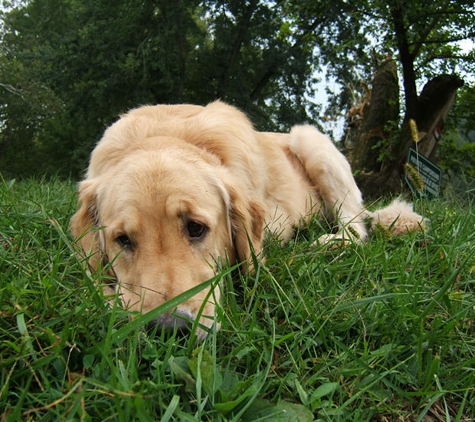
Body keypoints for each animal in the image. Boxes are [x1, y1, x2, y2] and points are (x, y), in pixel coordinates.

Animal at [71, 100, 428, 338]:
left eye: (196, 228)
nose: (169, 329)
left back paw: (329, 242)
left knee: (356, 226)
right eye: (123, 240)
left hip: (311, 141)